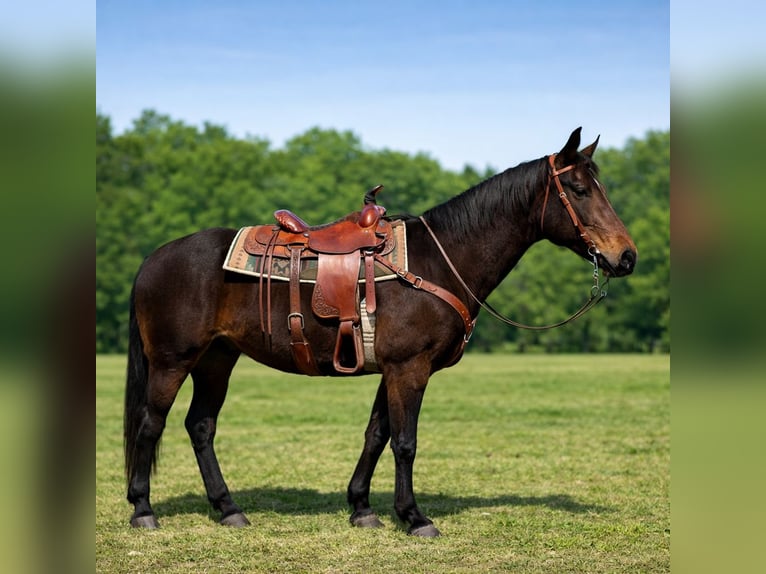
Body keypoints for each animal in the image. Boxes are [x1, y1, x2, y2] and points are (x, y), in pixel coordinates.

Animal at [123, 127, 637, 537]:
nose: (626, 256)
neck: (438, 260)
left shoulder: (391, 369)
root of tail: (153, 259)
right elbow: (405, 442)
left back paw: (228, 508)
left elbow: (376, 434)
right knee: (151, 425)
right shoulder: (409, 368)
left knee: (200, 426)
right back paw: (143, 510)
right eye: (578, 188)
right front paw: (413, 517)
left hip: (217, 359)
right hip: (173, 361)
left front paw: (362, 507)